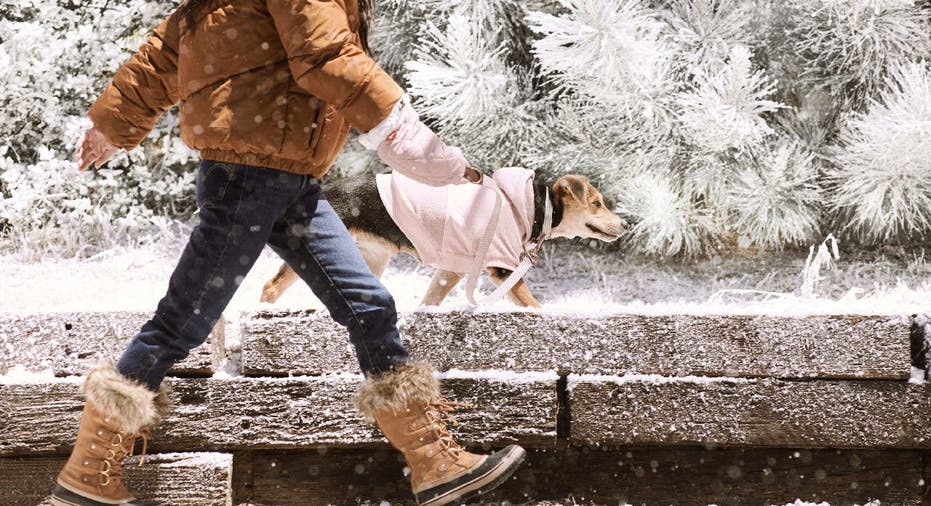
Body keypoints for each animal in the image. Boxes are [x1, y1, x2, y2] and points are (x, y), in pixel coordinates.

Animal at [262, 169, 628, 308]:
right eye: (597, 204)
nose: (624, 224)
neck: (536, 207)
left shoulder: (452, 269)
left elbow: (429, 300)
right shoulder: (503, 269)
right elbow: (534, 306)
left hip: (368, 261)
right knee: (270, 286)